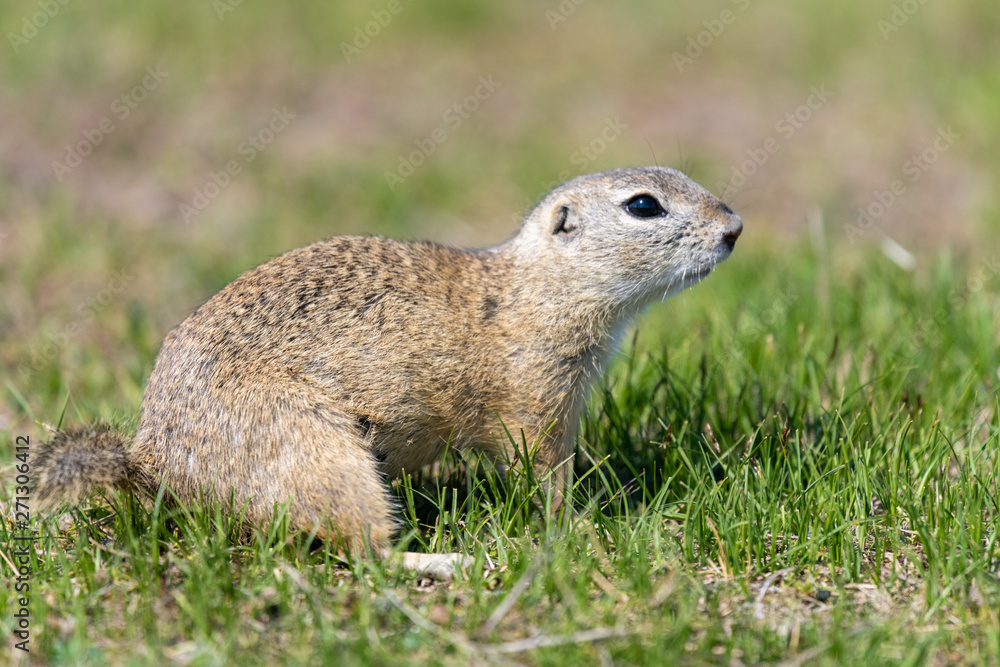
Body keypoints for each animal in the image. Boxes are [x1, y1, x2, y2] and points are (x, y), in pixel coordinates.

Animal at [33, 166, 742, 577]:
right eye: (644, 206)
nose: (735, 227)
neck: (536, 289)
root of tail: (150, 462)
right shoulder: (537, 395)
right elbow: (543, 471)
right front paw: (579, 529)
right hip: (320, 455)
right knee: (365, 552)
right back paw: (454, 559)